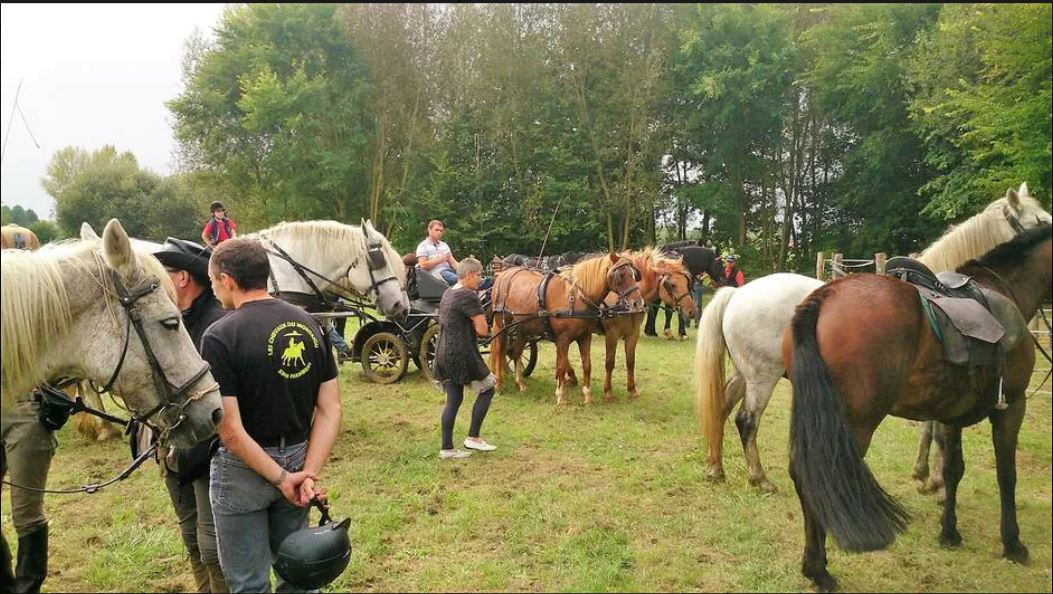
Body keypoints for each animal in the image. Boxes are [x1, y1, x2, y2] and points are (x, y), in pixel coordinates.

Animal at [488, 252, 644, 406]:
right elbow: (562, 366)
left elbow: (587, 365)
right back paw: (498, 385)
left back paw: (520, 383)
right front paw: (561, 396)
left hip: (522, 328)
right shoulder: (563, 339)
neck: (576, 297)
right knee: (499, 351)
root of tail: (502, 274)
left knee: (516, 352)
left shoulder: (585, 336)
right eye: (621, 275)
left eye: (634, 274)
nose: (638, 303)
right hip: (502, 325)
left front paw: (587, 396)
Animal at [694, 182, 1048, 492]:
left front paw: (923, 473)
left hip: (745, 373)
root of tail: (737, 294)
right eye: (1040, 220)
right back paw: (760, 478)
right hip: (762, 377)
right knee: (746, 420)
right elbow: (935, 429)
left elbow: (929, 426)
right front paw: (933, 478)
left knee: (721, 407)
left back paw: (716, 467)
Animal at [787, 221, 1048, 589]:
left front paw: (949, 533)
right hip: (853, 425)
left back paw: (813, 566)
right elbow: (1006, 475)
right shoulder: (1011, 406)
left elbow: (953, 470)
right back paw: (819, 570)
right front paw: (1013, 544)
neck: (1002, 289)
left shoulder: (951, 416)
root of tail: (823, 297)